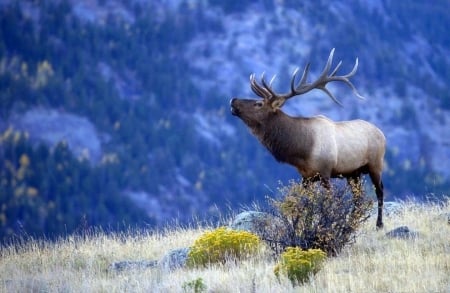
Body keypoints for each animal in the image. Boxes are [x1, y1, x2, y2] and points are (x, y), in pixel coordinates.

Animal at [230, 48, 384, 228]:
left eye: (259, 104)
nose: (233, 100)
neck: (302, 150)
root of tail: (381, 133)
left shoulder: (325, 172)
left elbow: (329, 202)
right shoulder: (306, 177)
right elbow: (305, 205)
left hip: (375, 164)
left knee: (380, 190)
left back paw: (379, 224)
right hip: (353, 173)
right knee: (358, 198)